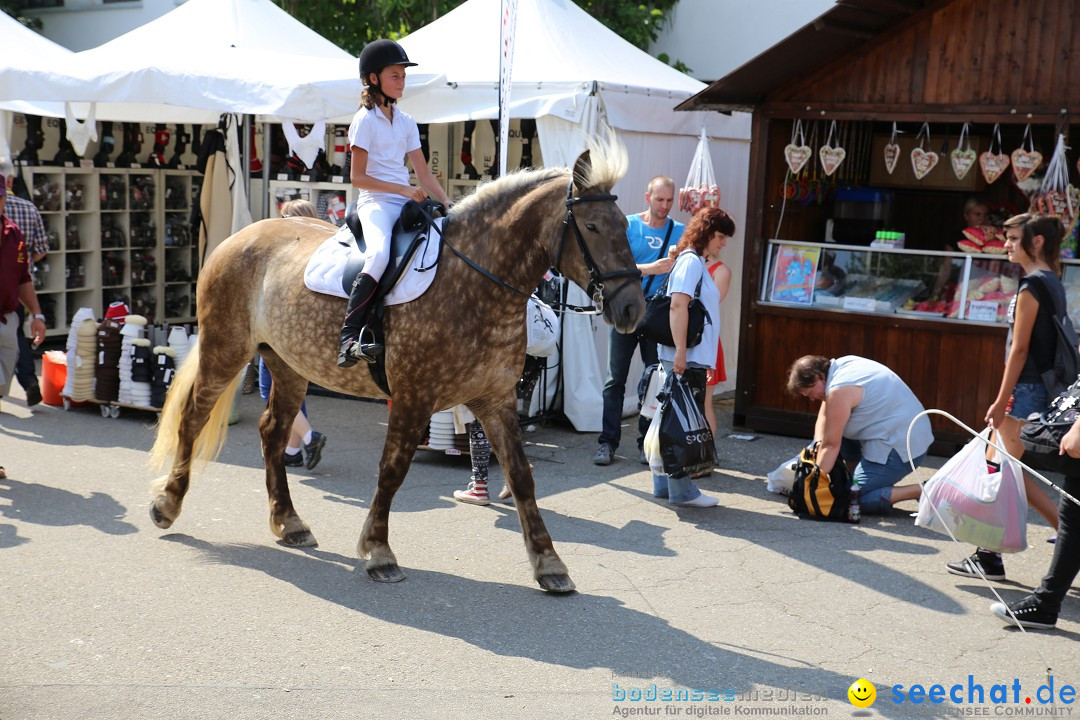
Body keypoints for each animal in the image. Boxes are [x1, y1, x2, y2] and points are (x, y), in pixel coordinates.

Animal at [147, 138, 643, 595]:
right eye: (592, 226)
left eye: (625, 225)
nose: (633, 309)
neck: (473, 282)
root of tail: (239, 238)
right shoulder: (413, 398)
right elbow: (393, 469)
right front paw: (378, 550)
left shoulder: (496, 399)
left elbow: (521, 476)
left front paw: (549, 563)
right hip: (226, 349)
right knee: (192, 417)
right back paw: (167, 504)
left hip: (286, 365)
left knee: (272, 432)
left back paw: (289, 522)